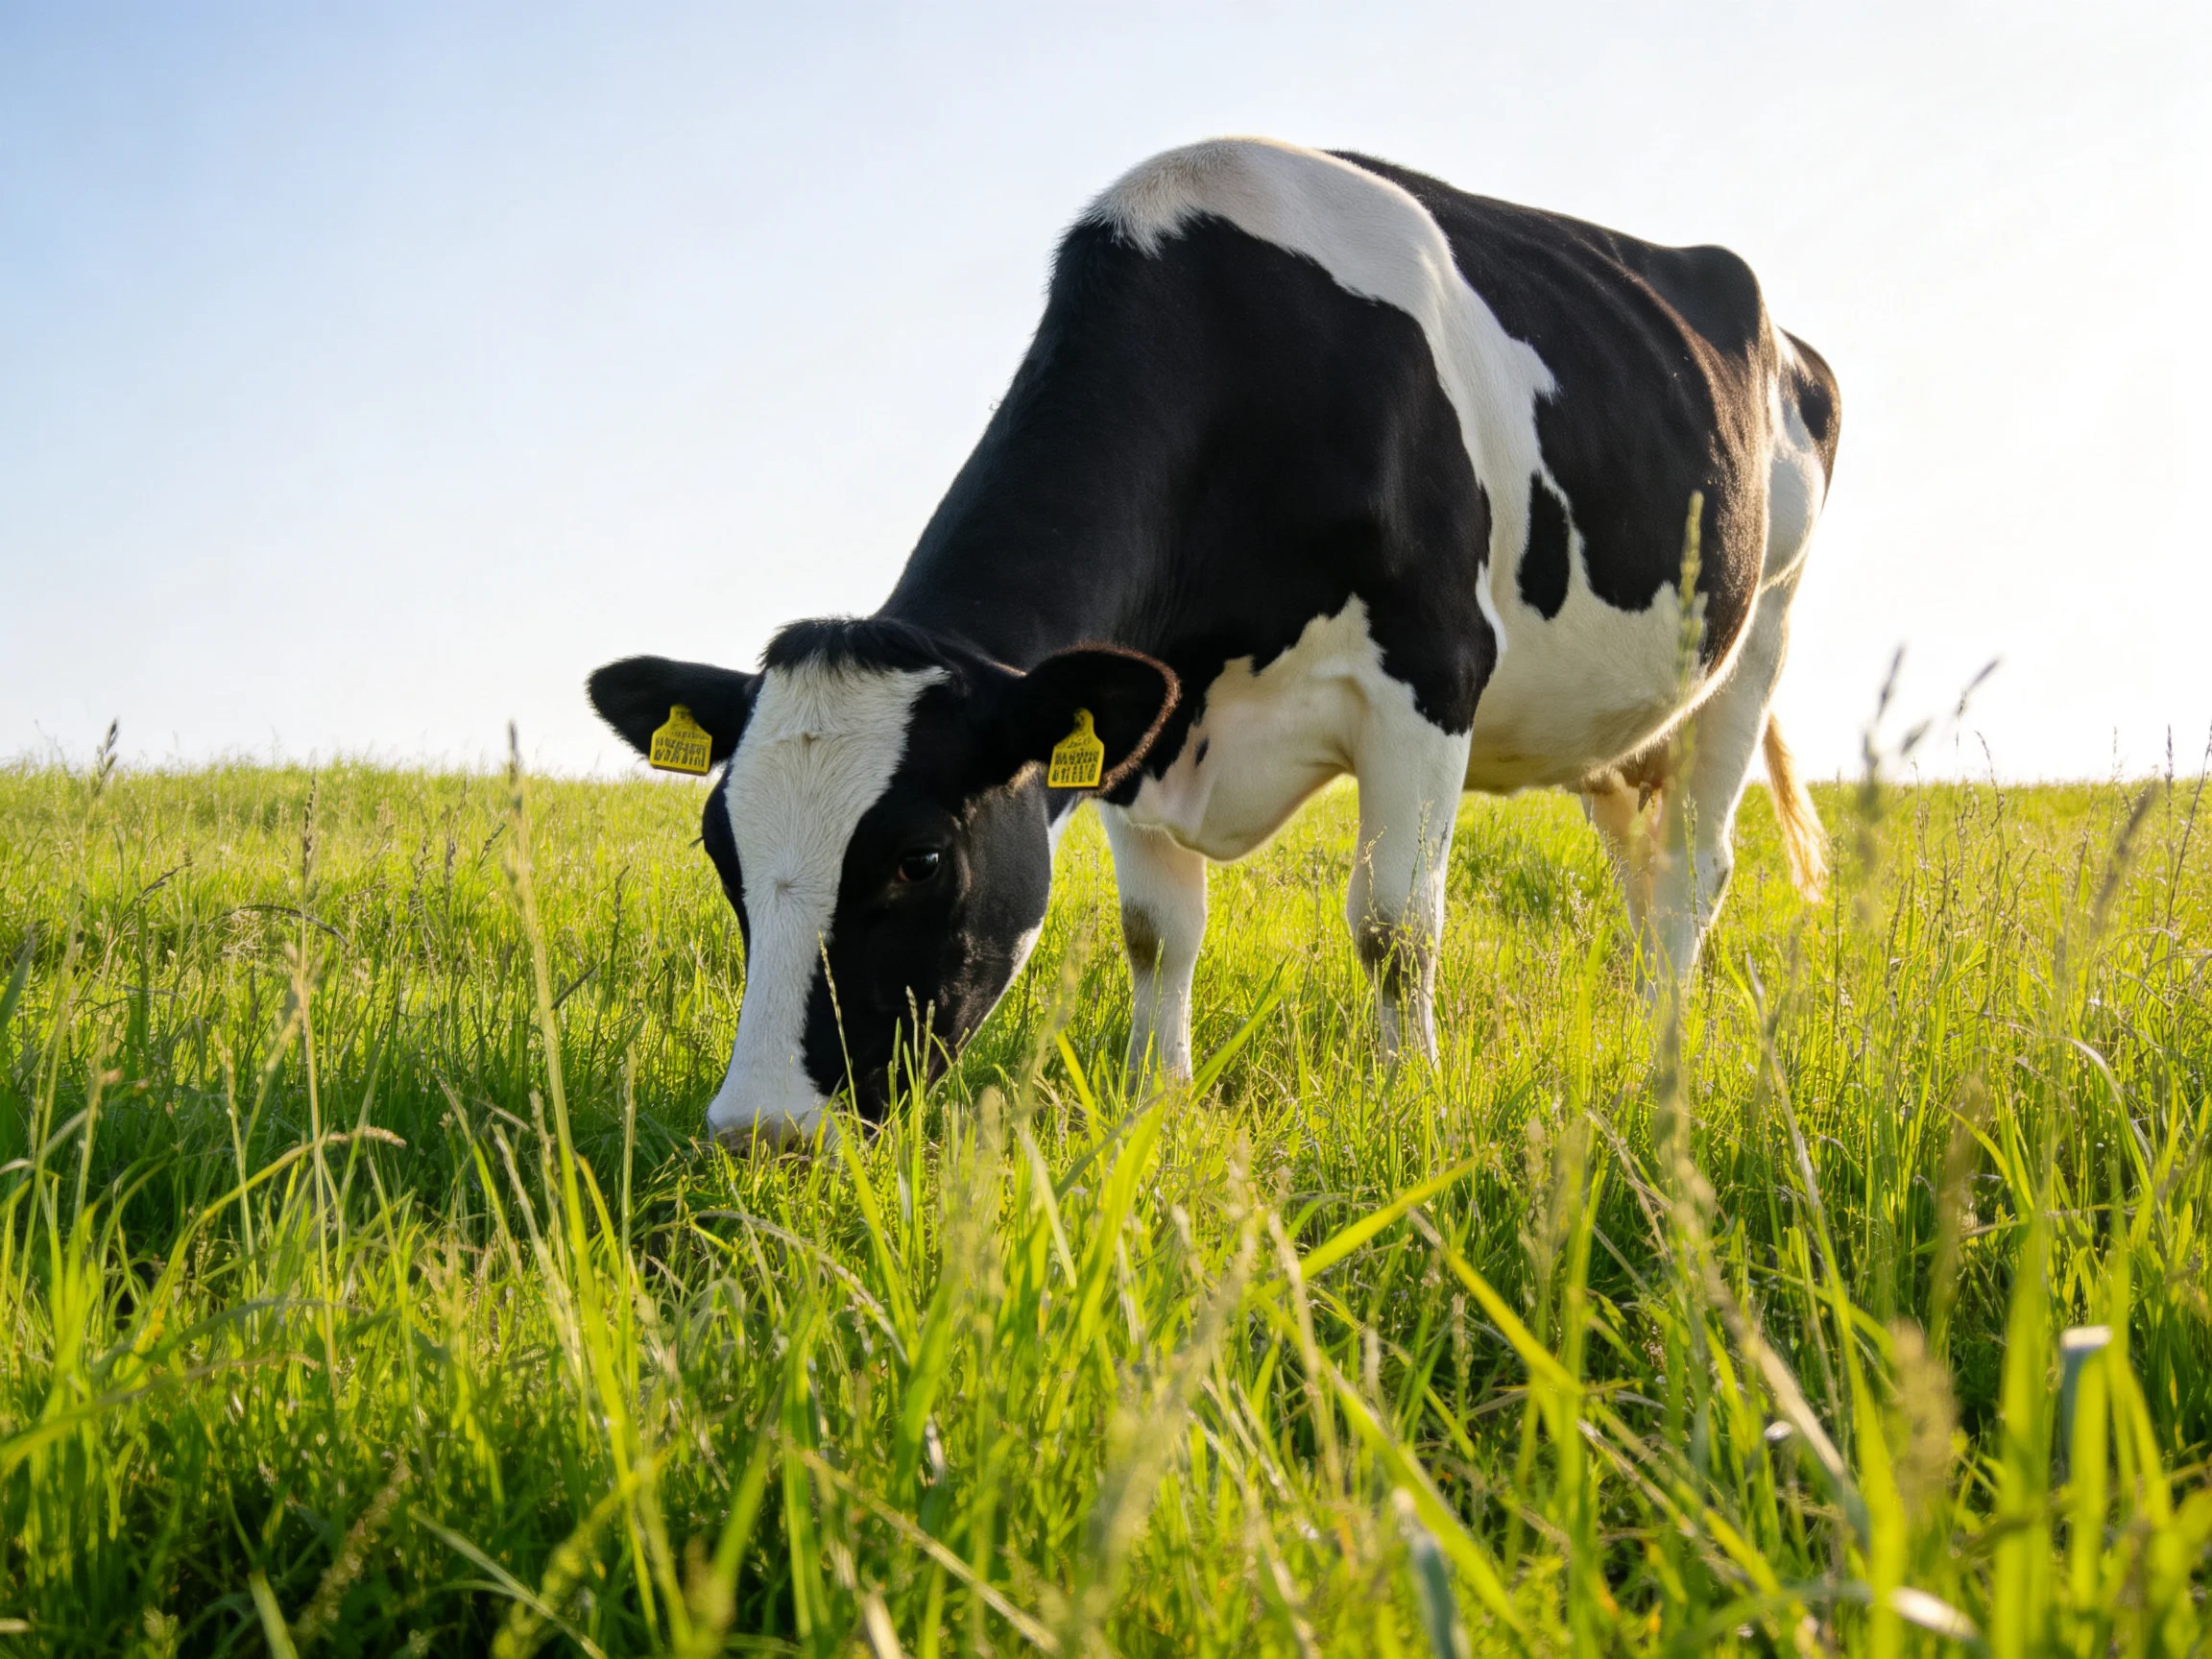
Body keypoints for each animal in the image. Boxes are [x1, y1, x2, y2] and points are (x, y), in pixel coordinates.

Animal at [588, 138, 1839, 1149]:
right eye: (721, 849)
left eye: (920, 860)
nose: (761, 1131)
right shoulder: (1138, 720)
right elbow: (1156, 932)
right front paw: (1159, 1101)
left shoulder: (1431, 671)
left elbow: (1395, 925)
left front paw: (1408, 1102)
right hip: (1624, 722)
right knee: (1640, 859)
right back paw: (1642, 1017)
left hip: (1761, 630)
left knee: (1693, 871)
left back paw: (1664, 1057)